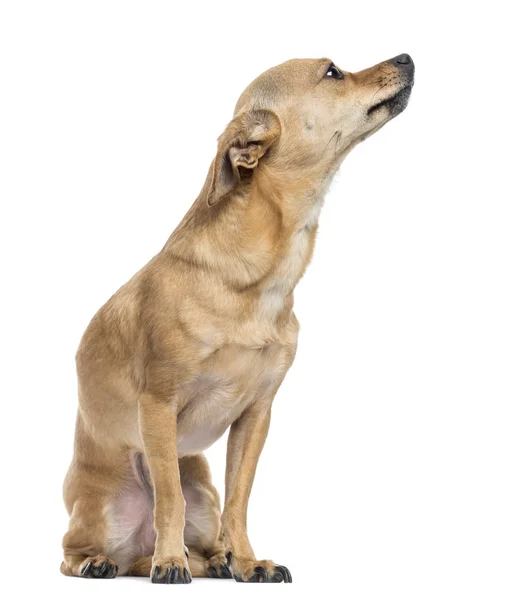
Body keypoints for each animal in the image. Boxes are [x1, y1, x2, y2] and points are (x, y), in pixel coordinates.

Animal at [58, 54, 412, 584]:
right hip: (98, 508)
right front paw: (170, 562)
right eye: (333, 72)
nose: (406, 58)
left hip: (204, 495)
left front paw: (248, 561)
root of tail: (131, 553)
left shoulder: (256, 416)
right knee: (75, 550)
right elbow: (168, 499)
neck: (263, 279)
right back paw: (110, 561)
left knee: (203, 535)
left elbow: (239, 501)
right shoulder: (158, 406)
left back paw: (218, 560)